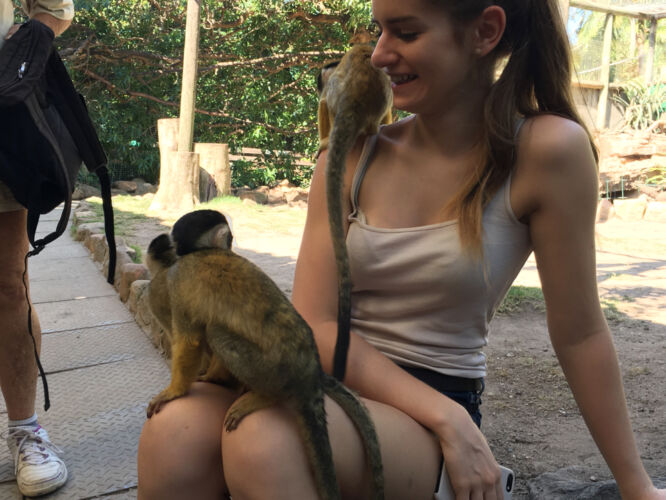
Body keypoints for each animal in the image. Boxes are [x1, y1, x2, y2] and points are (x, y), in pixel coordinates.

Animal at [145, 209, 384, 500]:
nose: (232, 243)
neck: (196, 253)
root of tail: (310, 372)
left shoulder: (174, 282)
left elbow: (190, 340)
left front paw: (176, 391)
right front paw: (212, 377)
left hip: (272, 370)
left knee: (216, 332)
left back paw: (263, 396)